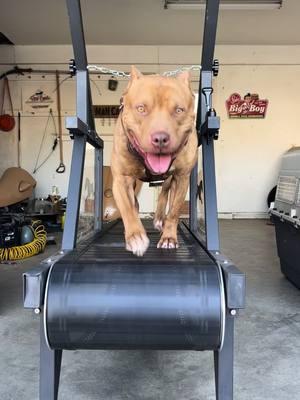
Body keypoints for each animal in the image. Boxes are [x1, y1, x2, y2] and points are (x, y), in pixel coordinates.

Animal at [111, 66, 198, 256]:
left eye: (179, 110)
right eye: (141, 108)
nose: (160, 139)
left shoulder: (182, 177)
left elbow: (174, 212)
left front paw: (169, 238)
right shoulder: (121, 180)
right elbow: (128, 208)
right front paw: (135, 237)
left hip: (170, 179)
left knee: (164, 192)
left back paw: (159, 219)